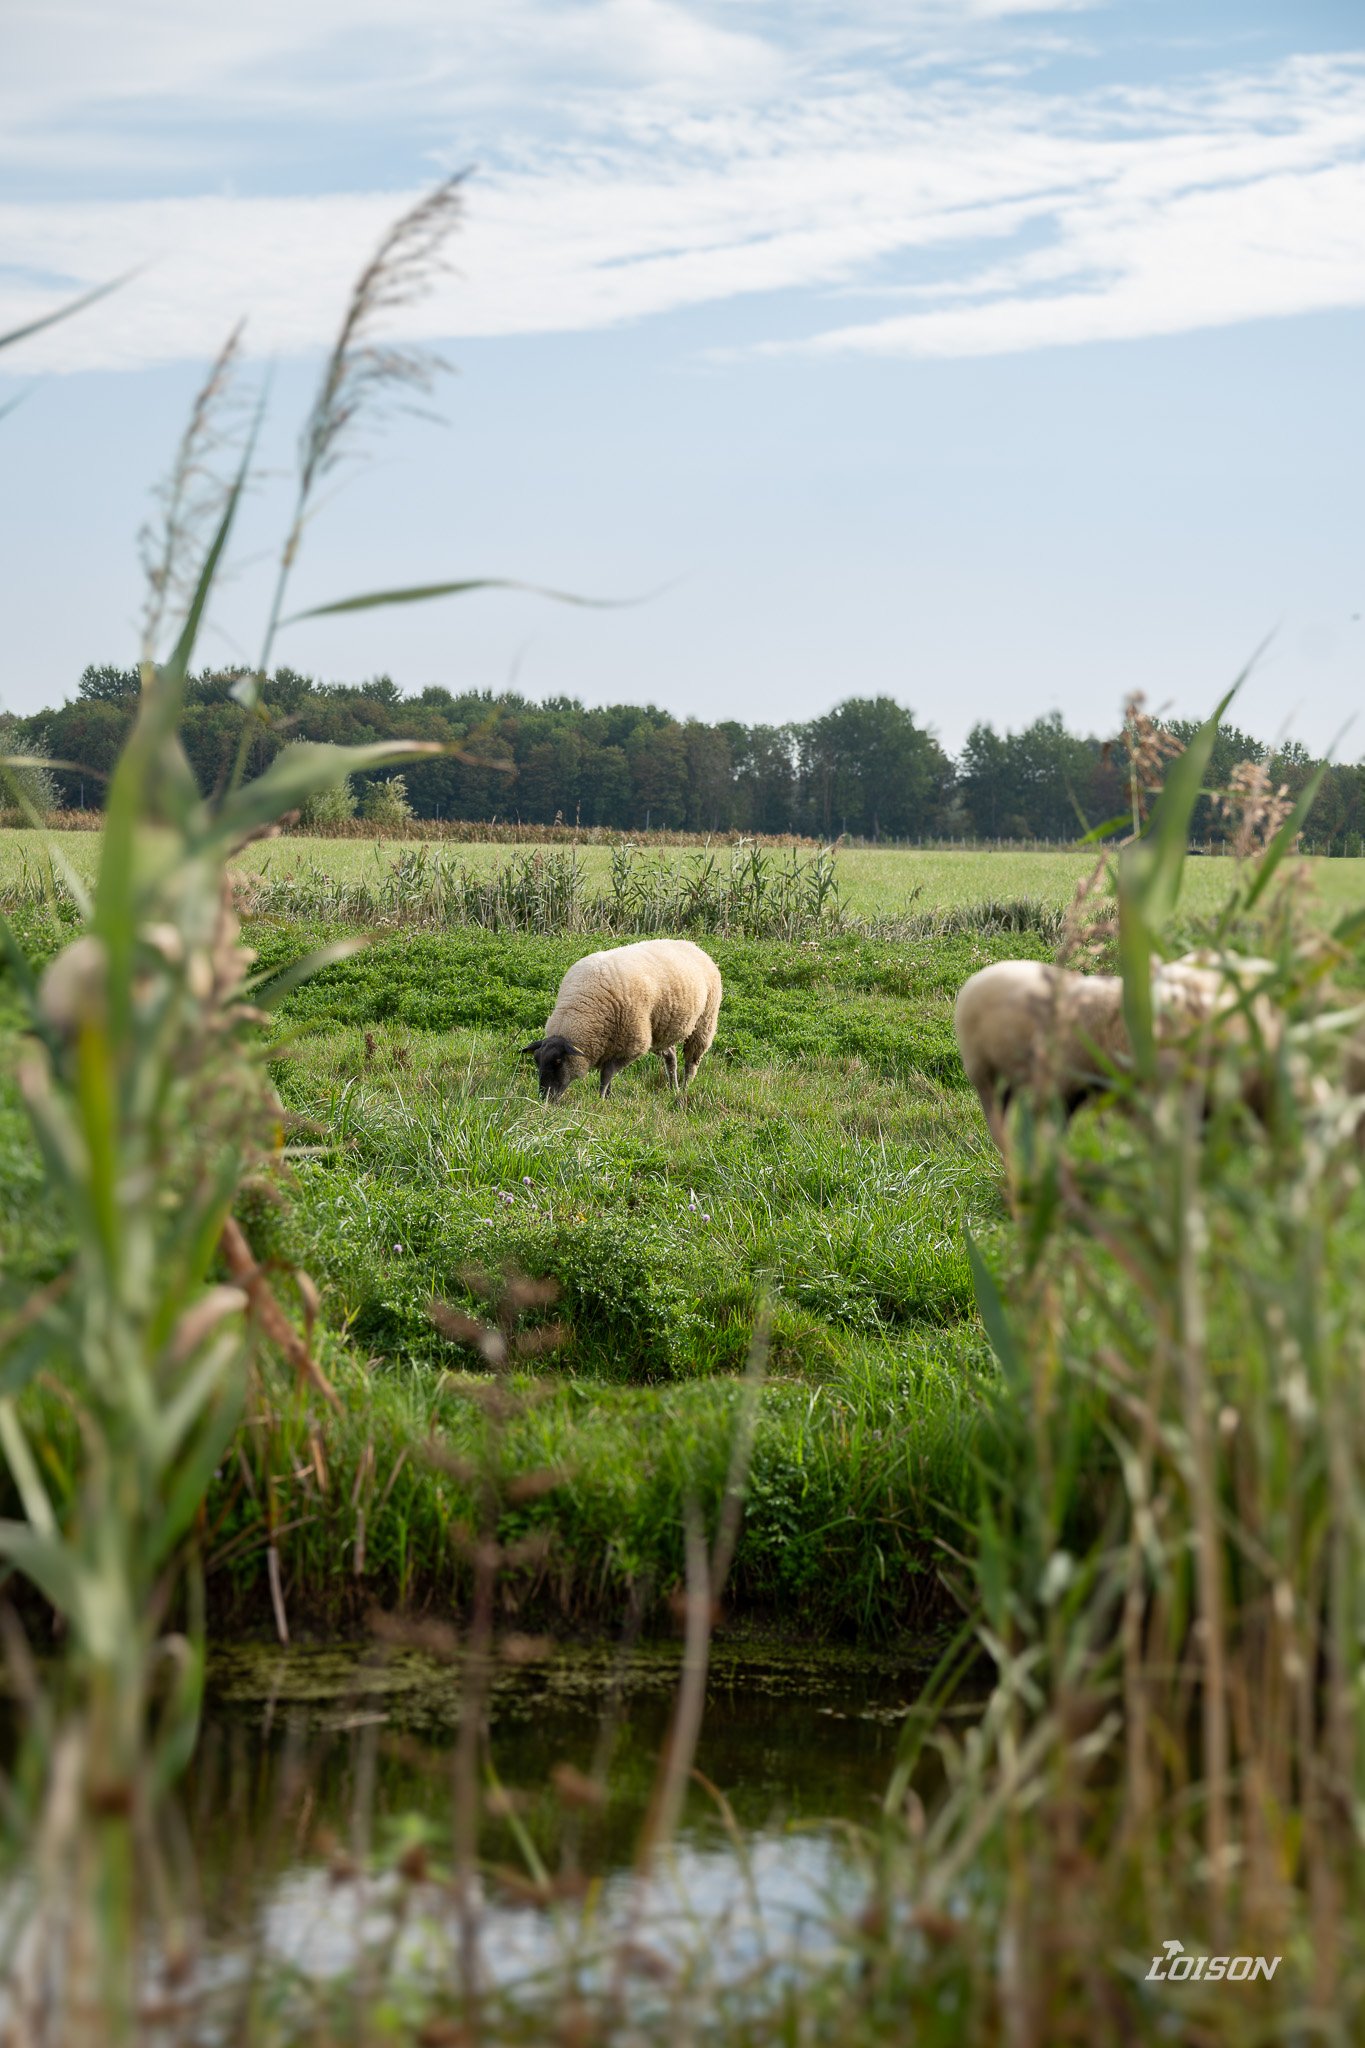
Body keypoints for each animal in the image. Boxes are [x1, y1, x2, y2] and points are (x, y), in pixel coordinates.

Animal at [522, 938, 723, 1102]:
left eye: (558, 1062)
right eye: (536, 1061)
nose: (544, 1099)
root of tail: (692, 944)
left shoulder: (632, 1046)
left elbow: (606, 1074)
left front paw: (601, 1099)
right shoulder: (610, 1043)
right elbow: (608, 1075)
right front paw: (608, 1096)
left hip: (704, 1023)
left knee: (691, 1061)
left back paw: (685, 1088)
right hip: (660, 1030)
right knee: (671, 1057)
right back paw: (674, 1087)